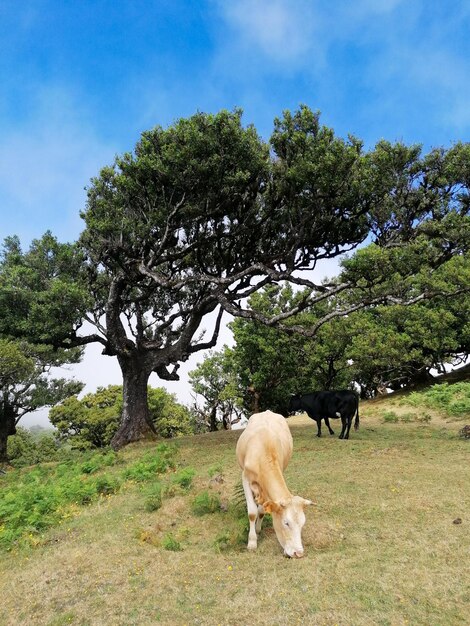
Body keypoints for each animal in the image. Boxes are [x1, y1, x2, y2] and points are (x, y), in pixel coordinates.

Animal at [235, 410, 312, 556]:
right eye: (286, 523)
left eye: (302, 523)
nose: (298, 553)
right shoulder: (245, 478)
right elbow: (252, 512)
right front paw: (252, 542)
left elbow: (261, 510)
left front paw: (258, 529)